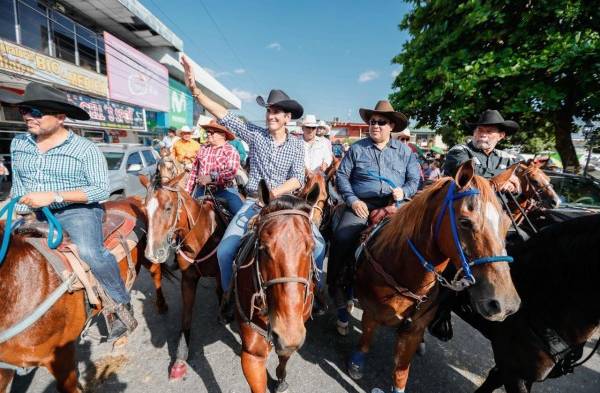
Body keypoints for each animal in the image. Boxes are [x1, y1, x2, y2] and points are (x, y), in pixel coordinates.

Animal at [0, 198, 164, 390]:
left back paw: (161, 306)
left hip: (149, 257)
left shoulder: (61, 356)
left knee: (157, 275)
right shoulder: (5, 369)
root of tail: (132, 199)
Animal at [139, 172, 226, 380]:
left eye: (168, 207)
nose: (152, 253)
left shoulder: (220, 272)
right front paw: (180, 359)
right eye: (145, 209)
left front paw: (224, 313)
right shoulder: (188, 279)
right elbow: (186, 317)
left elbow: (221, 290)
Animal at [234, 179, 322, 390]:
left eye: (311, 247)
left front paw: (280, 378)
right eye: (263, 247)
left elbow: (284, 356)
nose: (288, 333)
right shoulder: (252, 354)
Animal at [350, 160, 524, 392]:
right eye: (465, 222)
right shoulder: (371, 313)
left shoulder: (413, 331)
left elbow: (401, 373)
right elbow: (365, 342)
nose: (506, 305)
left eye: (506, 227)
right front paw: (356, 364)